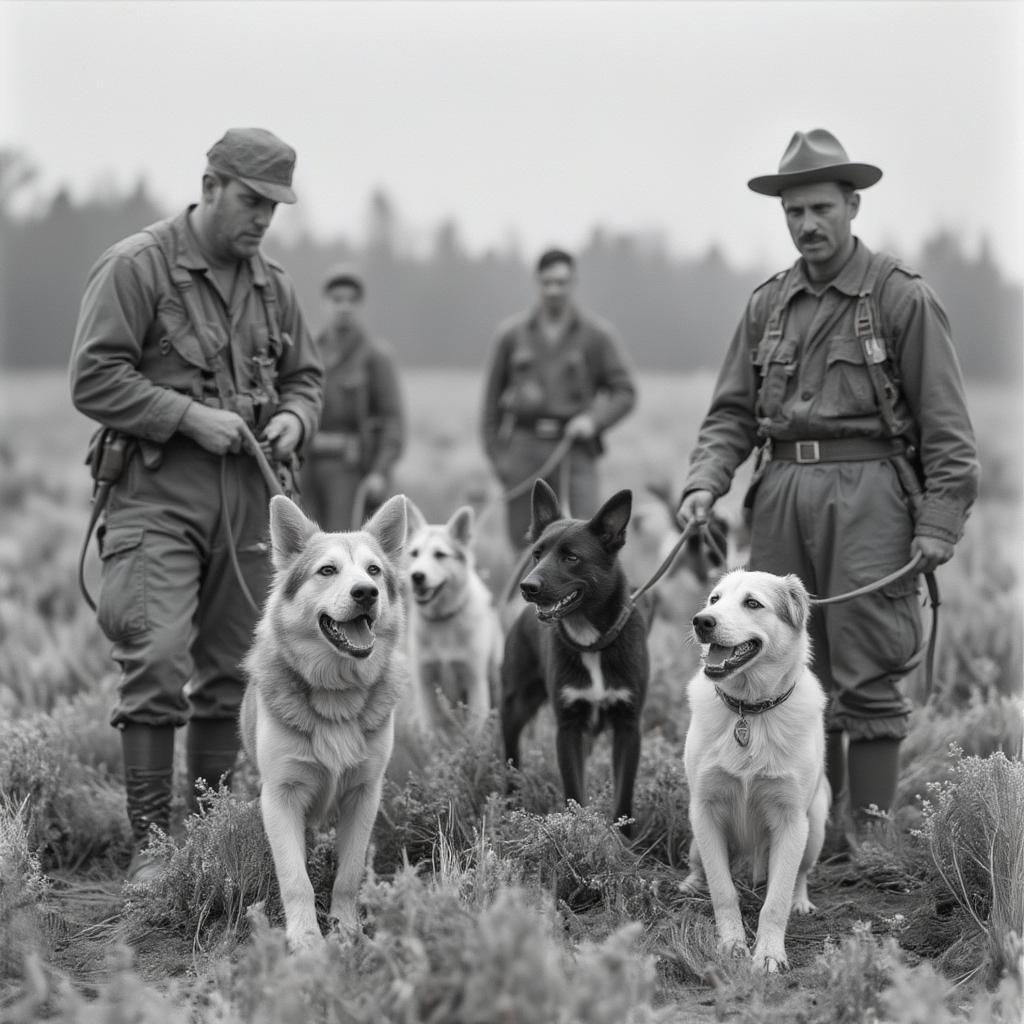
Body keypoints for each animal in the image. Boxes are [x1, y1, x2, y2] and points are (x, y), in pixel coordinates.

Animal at [401, 499, 501, 733]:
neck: (442, 621)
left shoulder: (475, 682)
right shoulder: (425, 684)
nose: (417, 576)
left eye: (439, 555)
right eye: (414, 553)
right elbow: (431, 734)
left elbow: (474, 732)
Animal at [499, 479, 651, 831]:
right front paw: (578, 832)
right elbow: (574, 792)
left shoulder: (628, 726)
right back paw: (510, 805)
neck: (592, 642)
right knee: (511, 758)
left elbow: (623, 794)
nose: (527, 587)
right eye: (537, 553)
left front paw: (624, 839)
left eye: (571, 557)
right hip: (514, 706)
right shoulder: (568, 728)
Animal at [679, 573, 831, 970]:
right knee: (700, 867)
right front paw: (732, 946)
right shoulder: (705, 812)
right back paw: (690, 884)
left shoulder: (792, 821)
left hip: (815, 830)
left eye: (752, 603)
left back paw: (801, 901)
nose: (702, 621)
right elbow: (723, 892)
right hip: (696, 837)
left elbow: (775, 902)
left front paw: (769, 956)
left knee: (799, 876)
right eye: (714, 600)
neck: (749, 710)